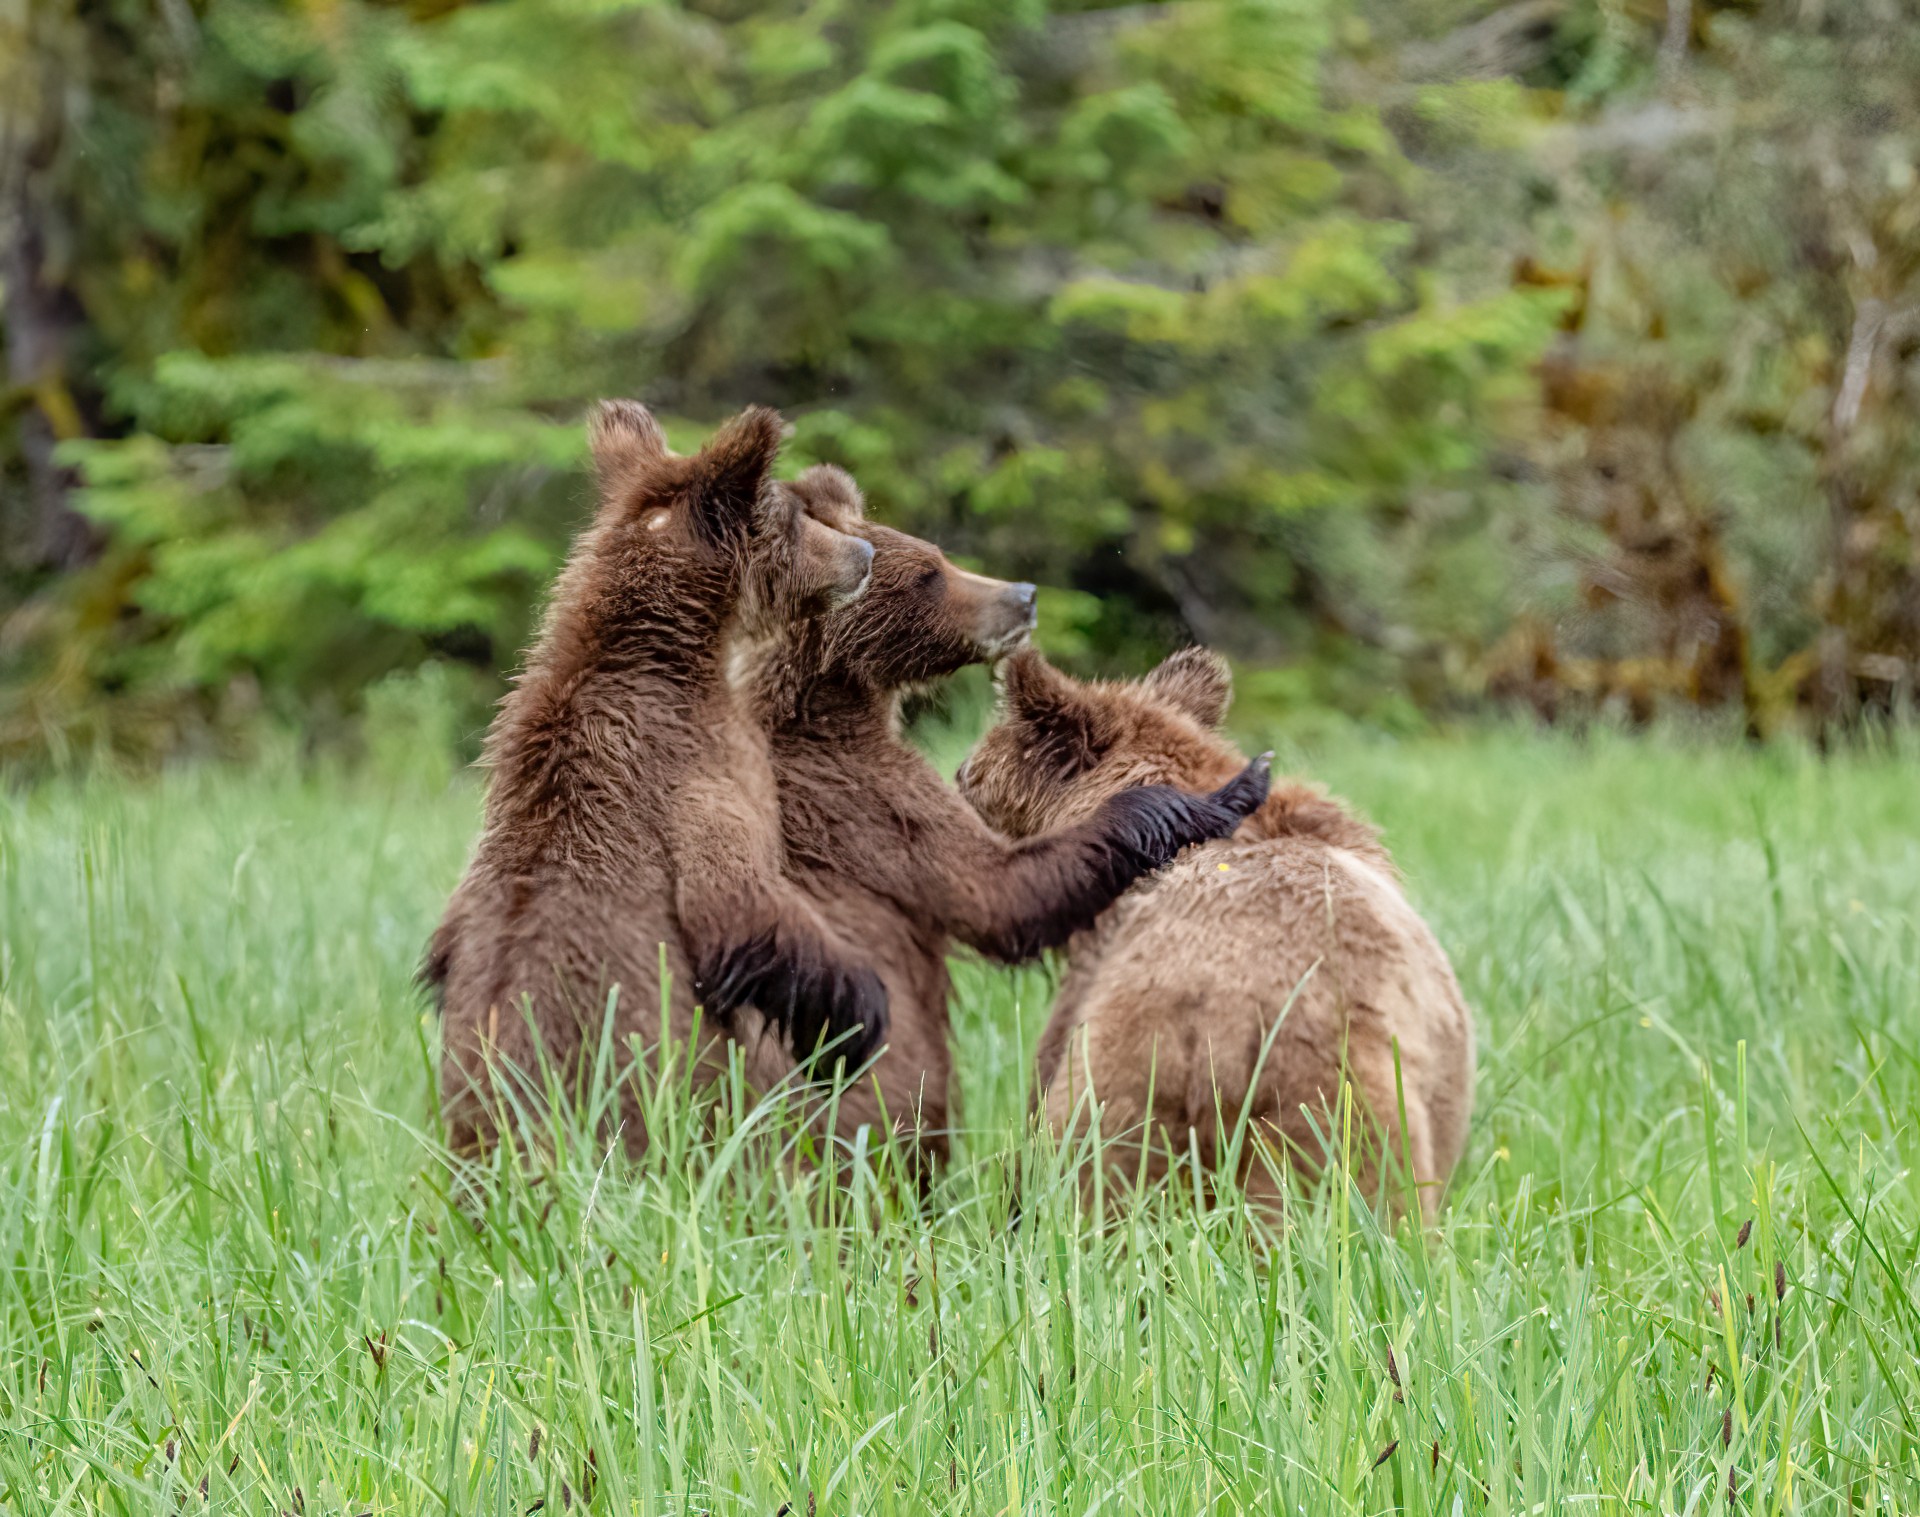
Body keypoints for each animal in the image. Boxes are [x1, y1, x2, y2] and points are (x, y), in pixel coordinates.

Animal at [733, 468, 1274, 1167]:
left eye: (936, 554)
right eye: (929, 572)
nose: (1025, 593)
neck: (822, 706)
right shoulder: (863, 804)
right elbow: (999, 893)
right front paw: (1225, 791)